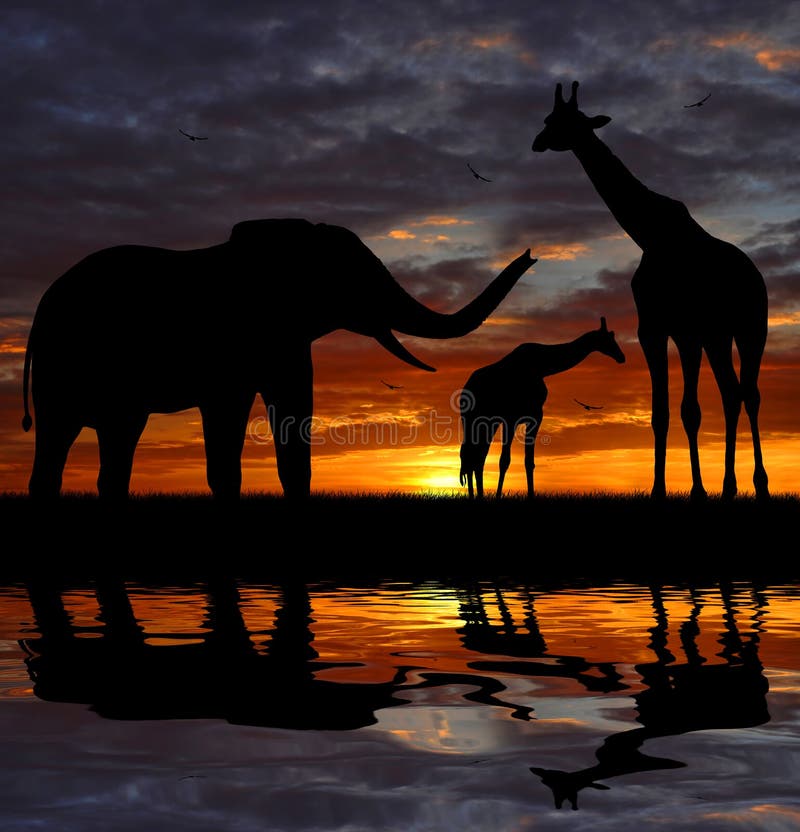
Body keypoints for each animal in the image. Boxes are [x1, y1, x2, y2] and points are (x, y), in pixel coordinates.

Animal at [22, 218, 536, 499]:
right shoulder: (239, 339)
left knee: (114, 441)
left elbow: (292, 416)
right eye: (353, 280)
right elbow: (227, 423)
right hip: (62, 362)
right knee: (68, 438)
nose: (531, 257)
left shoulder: (284, 341)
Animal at [459, 317, 625, 498]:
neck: (542, 367)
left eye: (613, 336)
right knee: (470, 455)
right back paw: (475, 496)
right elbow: (504, 460)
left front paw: (531, 495)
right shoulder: (511, 417)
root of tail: (465, 390)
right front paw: (497, 497)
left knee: (477, 456)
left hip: (488, 422)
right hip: (473, 420)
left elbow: (529, 462)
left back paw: (478, 495)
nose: (621, 357)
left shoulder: (535, 416)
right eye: (608, 338)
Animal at [531, 81, 769, 501]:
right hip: (718, 336)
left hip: (752, 328)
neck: (650, 234)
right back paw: (729, 486)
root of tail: (757, 277)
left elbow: (690, 410)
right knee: (731, 393)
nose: (537, 141)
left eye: (560, 121)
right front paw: (667, 488)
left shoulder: (686, 331)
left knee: (750, 394)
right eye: (548, 117)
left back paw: (759, 484)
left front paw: (696, 489)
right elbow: (664, 412)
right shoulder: (655, 329)